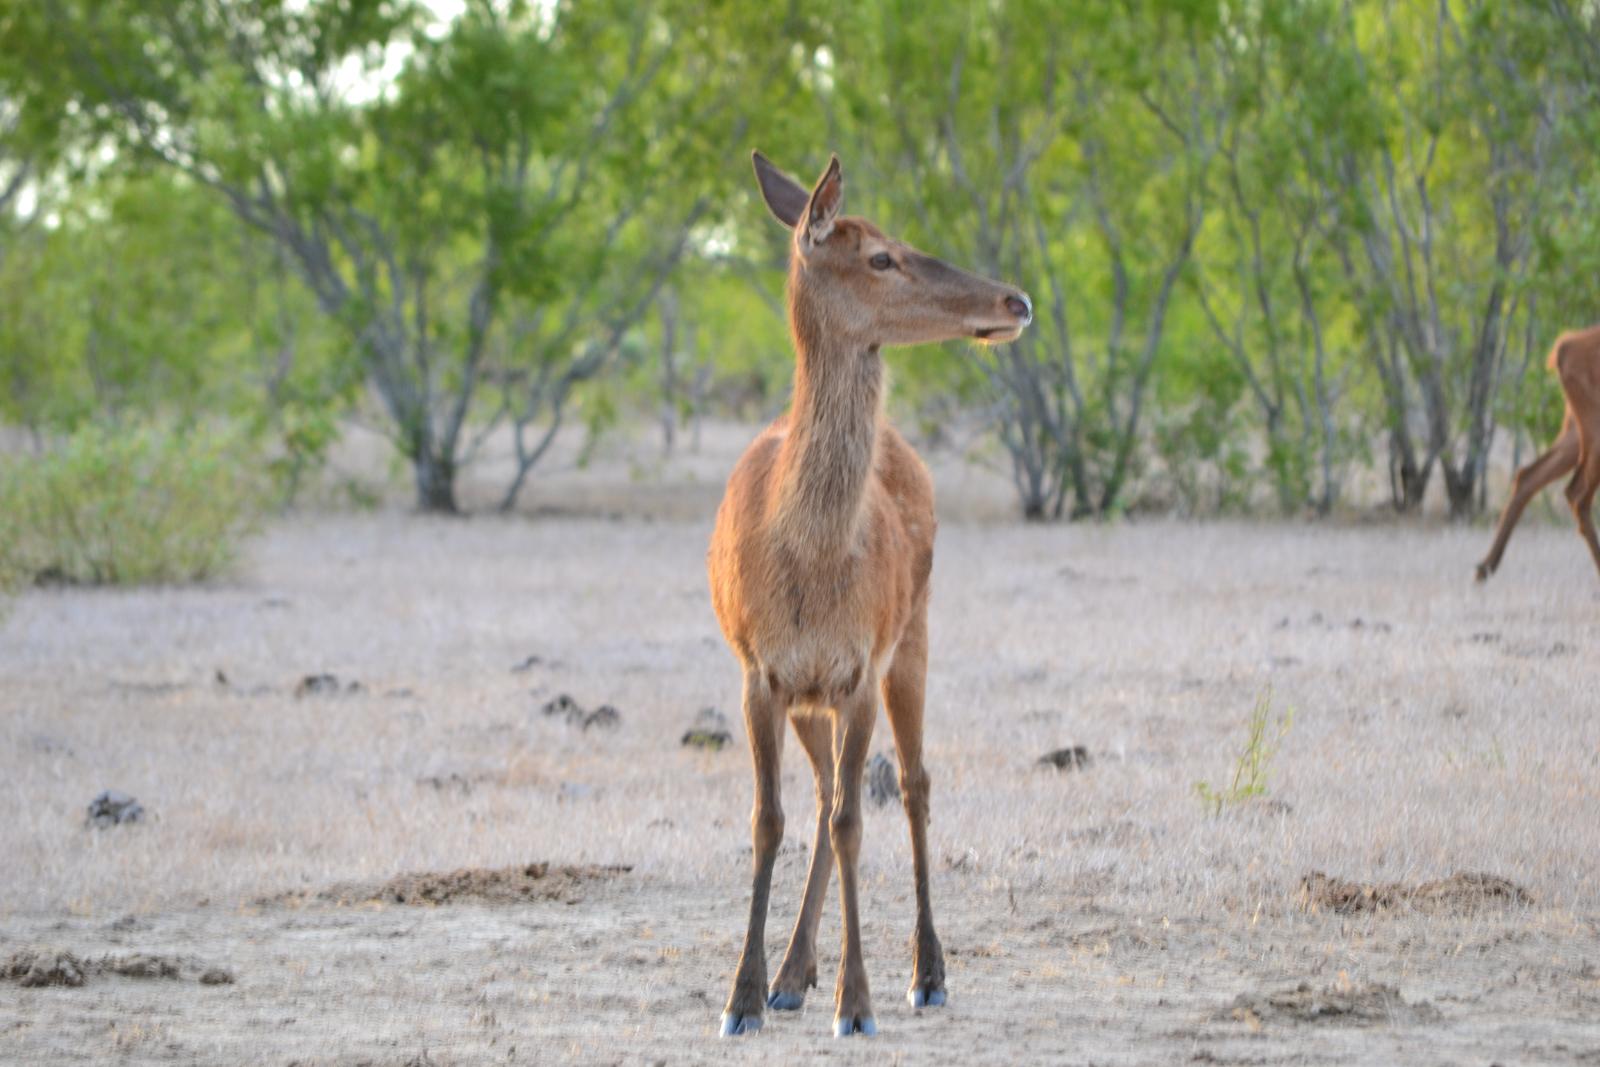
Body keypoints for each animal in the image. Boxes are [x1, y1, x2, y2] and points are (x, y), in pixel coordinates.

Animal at [706, 151, 1032, 1039]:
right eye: (882, 256)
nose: (1015, 300)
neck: (809, 559)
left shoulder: (857, 666)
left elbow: (856, 819)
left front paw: (857, 1004)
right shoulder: (760, 671)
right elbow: (770, 819)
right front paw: (744, 996)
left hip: (913, 632)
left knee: (912, 784)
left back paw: (926, 973)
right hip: (811, 695)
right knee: (824, 793)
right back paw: (794, 973)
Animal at [1476, 324, 1600, 583]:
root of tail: (1564, 348)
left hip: (1576, 429)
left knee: (1529, 475)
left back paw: (1485, 566)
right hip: (1593, 432)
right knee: (1577, 494)